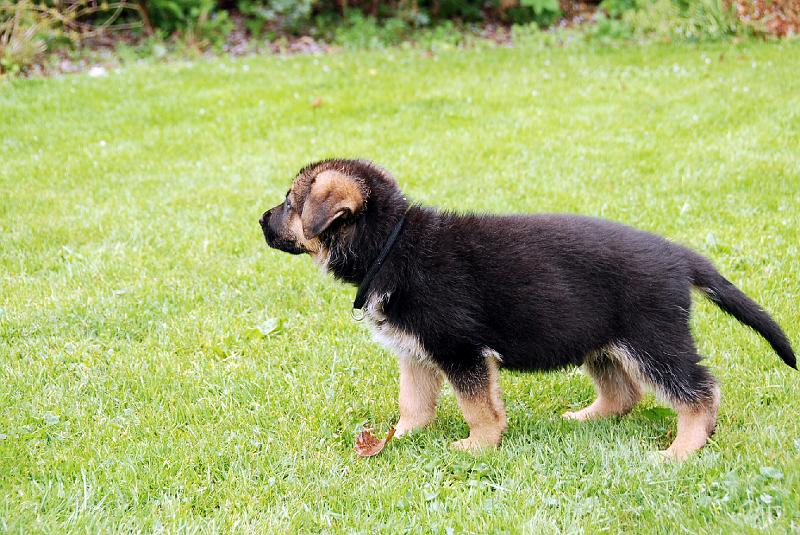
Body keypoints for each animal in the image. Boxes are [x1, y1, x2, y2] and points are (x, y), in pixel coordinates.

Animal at [260, 158, 792, 460]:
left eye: (289, 202)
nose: (259, 220)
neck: (390, 243)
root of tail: (678, 255)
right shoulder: (415, 354)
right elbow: (413, 402)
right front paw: (403, 437)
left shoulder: (461, 351)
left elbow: (478, 406)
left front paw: (478, 446)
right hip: (601, 341)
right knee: (623, 394)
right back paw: (587, 418)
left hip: (654, 341)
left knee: (699, 392)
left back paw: (683, 448)